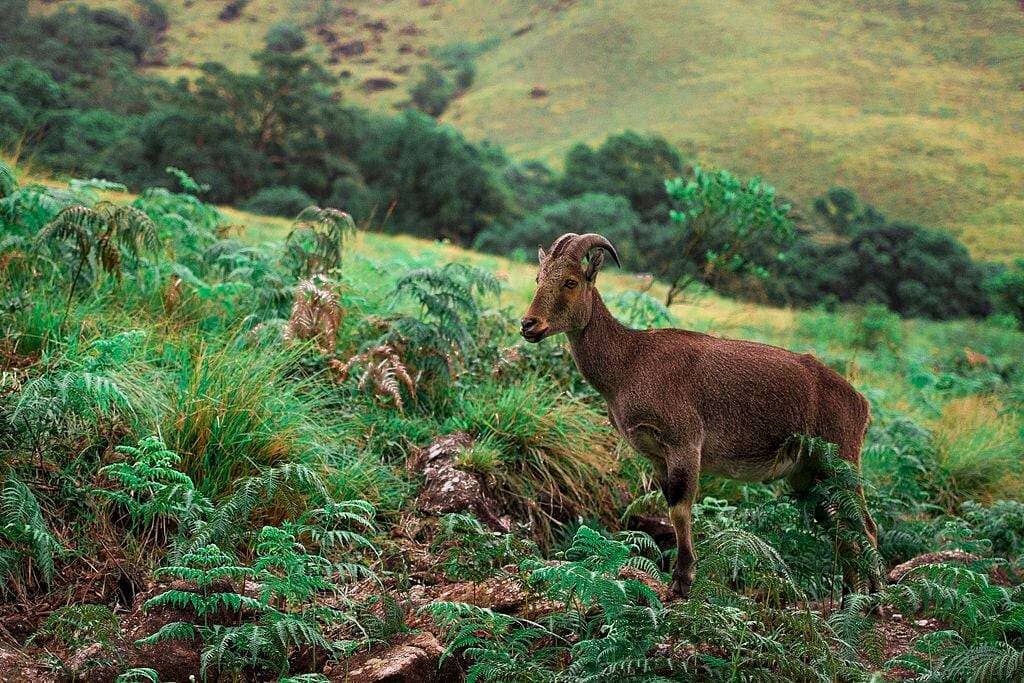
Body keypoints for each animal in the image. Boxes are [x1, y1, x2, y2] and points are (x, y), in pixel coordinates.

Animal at [524, 233, 876, 598]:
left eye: (571, 281)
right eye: (538, 278)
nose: (529, 325)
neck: (630, 363)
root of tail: (861, 404)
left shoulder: (684, 443)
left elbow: (680, 509)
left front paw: (681, 582)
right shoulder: (657, 456)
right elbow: (670, 505)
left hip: (840, 461)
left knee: (865, 526)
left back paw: (874, 599)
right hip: (807, 475)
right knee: (842, 528)